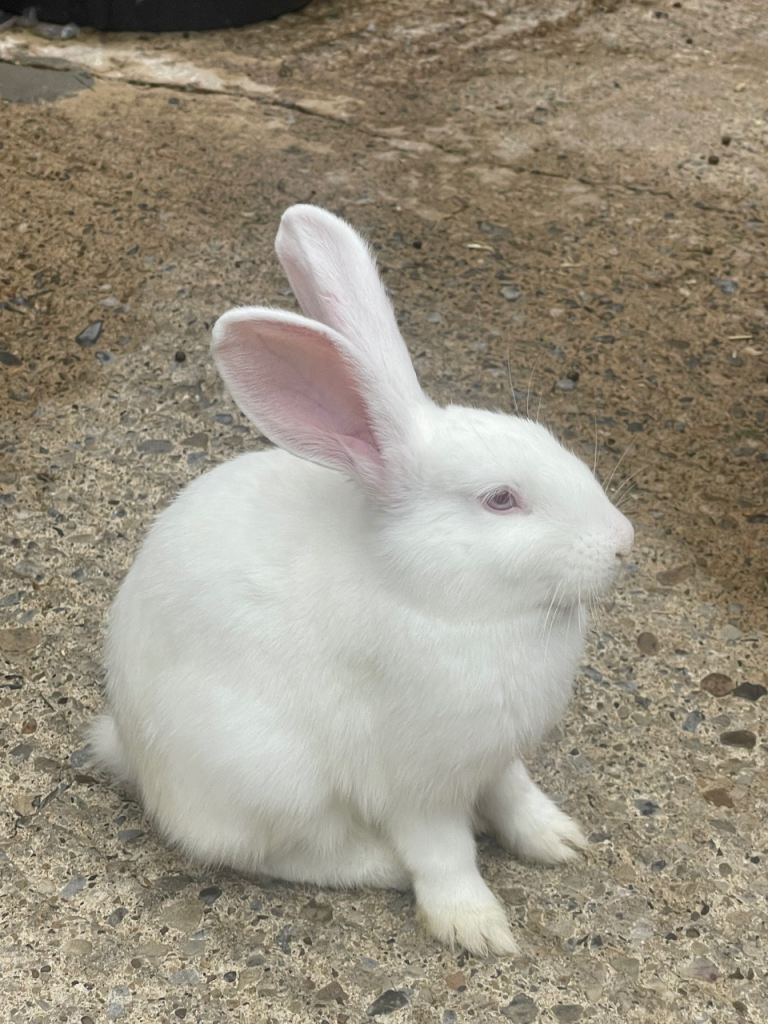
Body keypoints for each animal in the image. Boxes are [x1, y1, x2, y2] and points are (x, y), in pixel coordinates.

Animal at [89, 203, 634, 956]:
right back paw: (382, 867)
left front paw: (559, 841)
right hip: (271, 775)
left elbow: (515, 795)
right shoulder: (418, 783)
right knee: (281, 853)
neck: (447, 604)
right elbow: (444, 852)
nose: (623, 543)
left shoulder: (493, 757)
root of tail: (131, 750)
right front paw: (477, 927)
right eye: (501, 500)